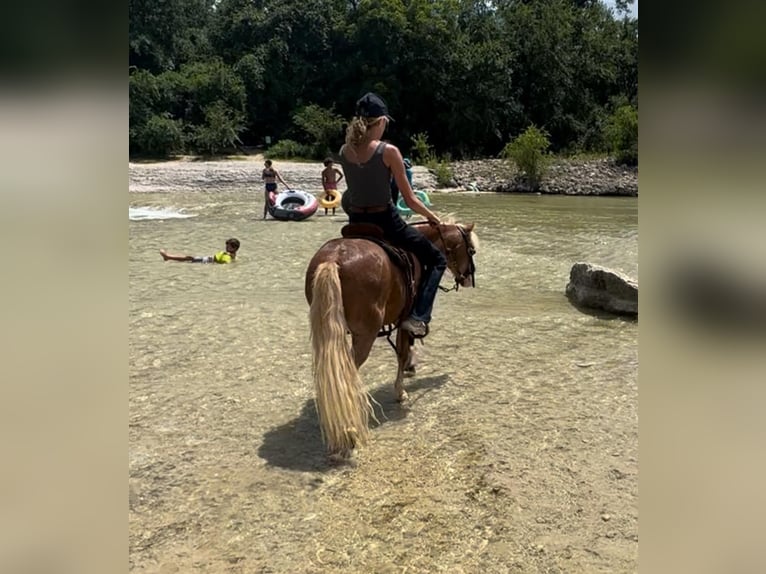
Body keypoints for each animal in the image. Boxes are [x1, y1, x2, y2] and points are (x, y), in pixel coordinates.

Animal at [306, 220, 480, 460]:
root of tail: (334, 259)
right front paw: (401, 391)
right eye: (471, 250)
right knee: (347, 370)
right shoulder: (404, 319)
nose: (469, 279)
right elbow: (403, 351)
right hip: (365, 335)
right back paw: (349, 430)